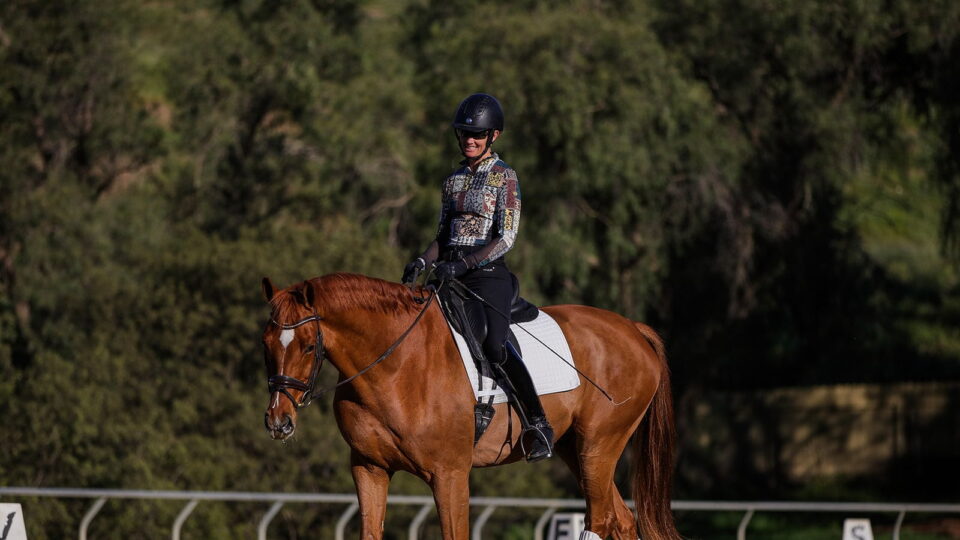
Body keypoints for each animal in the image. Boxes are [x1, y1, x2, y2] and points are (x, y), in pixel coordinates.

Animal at [261, 272, 679, 540]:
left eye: (308, 346)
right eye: (266, 343)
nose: (279, 422)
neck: (395, 367)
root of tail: (631, 329)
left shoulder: (450, 475)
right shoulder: (369, 469)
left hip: (599, 447)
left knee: (602, 518)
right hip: (574, 450)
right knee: (621, 520)